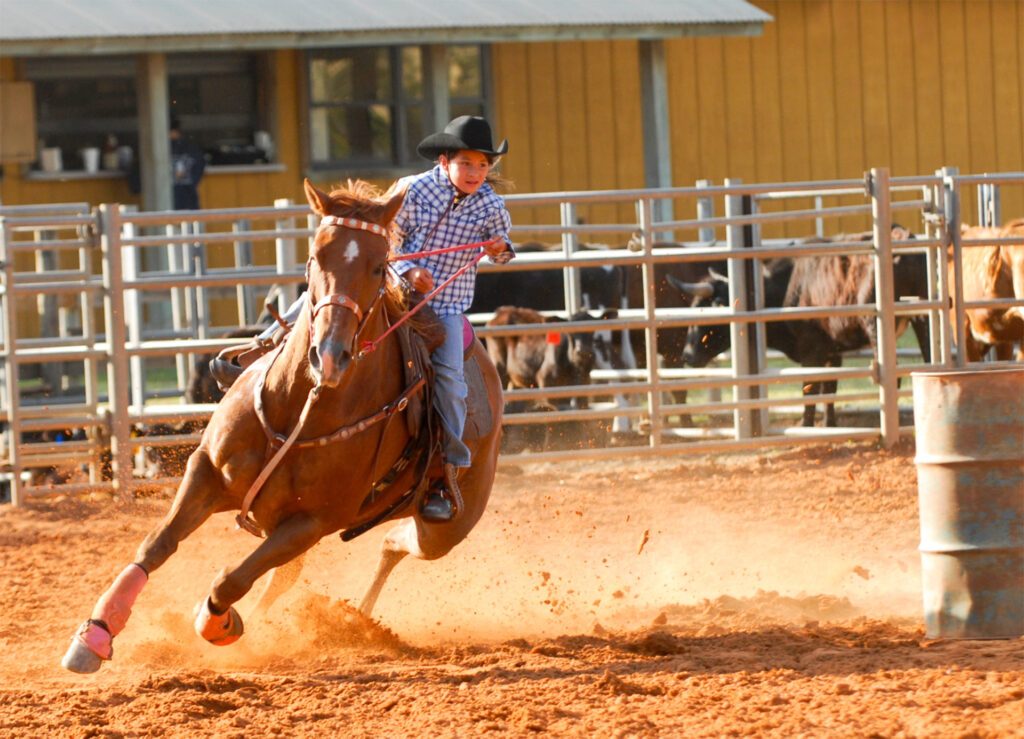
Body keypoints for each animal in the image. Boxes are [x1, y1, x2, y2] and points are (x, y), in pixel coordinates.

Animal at [60, 178, 503, 675]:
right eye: (315, 257)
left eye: (377, 266)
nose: (329, 356)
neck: (301, 408)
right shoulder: (206, 471)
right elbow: (156, 545)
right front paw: (95, 634)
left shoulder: (313, 521)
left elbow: (230, 581)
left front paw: (219, 623)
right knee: (307, 570)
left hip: (445, 527)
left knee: (391, 543)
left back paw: (352, 620)